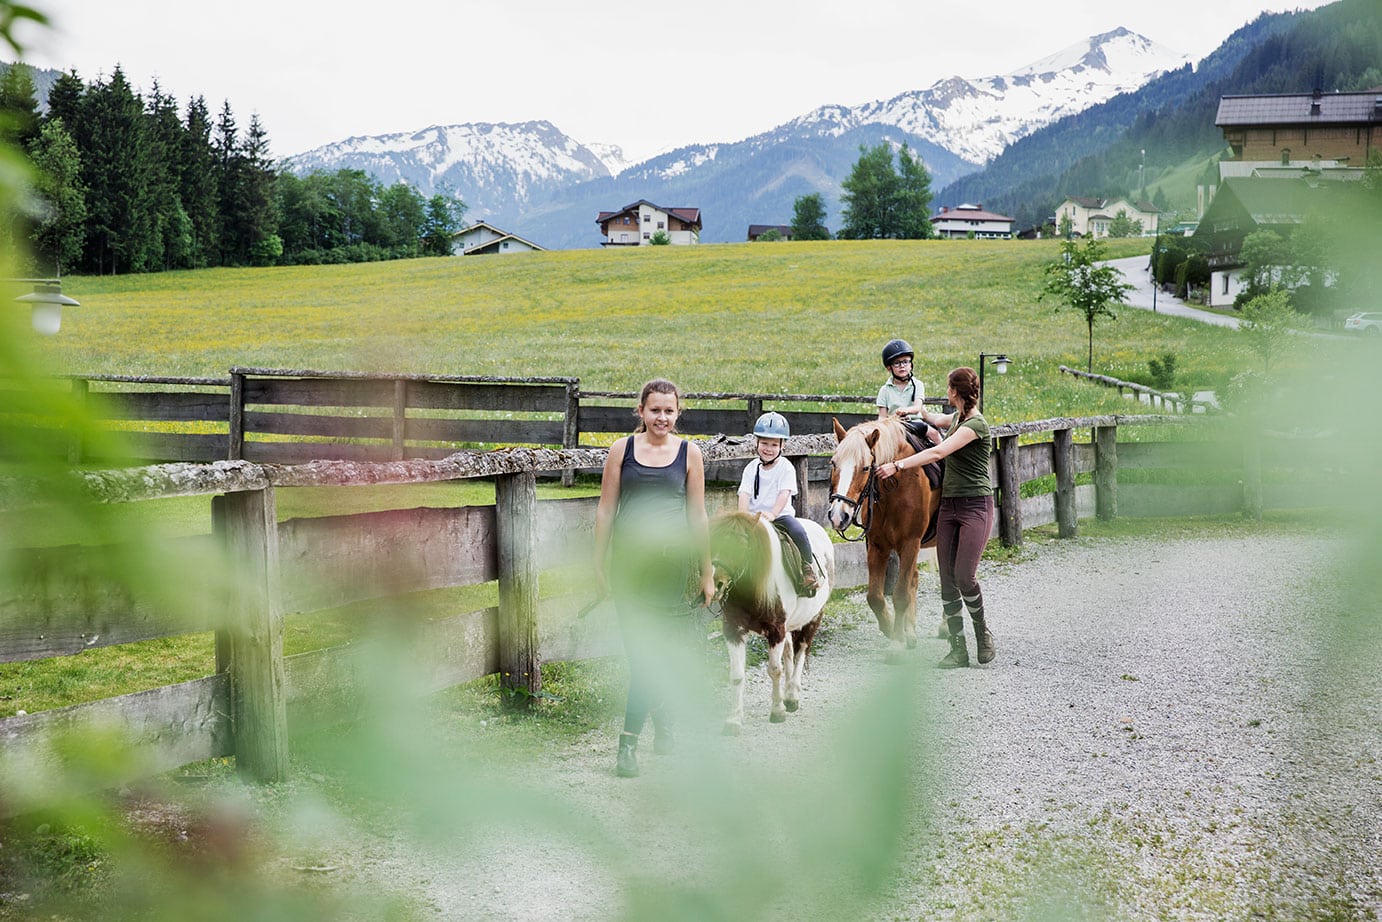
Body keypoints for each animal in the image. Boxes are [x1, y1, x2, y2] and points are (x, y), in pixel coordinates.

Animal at [713, 511, 829, 735]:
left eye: (743, 545)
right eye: (716, 541)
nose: (718, 584)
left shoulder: (776, 630)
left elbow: (775, 670)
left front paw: (777, 711)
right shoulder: (734, 630)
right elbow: (737, 675)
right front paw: (734, 719)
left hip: (813, 619)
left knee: (801, 650)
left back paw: (791, 697)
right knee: (790, 652)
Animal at [823, 417, 945, 655]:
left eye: (865, 467)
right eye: (833, 463)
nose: (838, 515)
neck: (896, 483)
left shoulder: (910, 544)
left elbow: (900, 594)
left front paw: (896, 643)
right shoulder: (877, 546)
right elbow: (875, 597)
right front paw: (891, 629)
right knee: (914, 579)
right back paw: (910, 631)